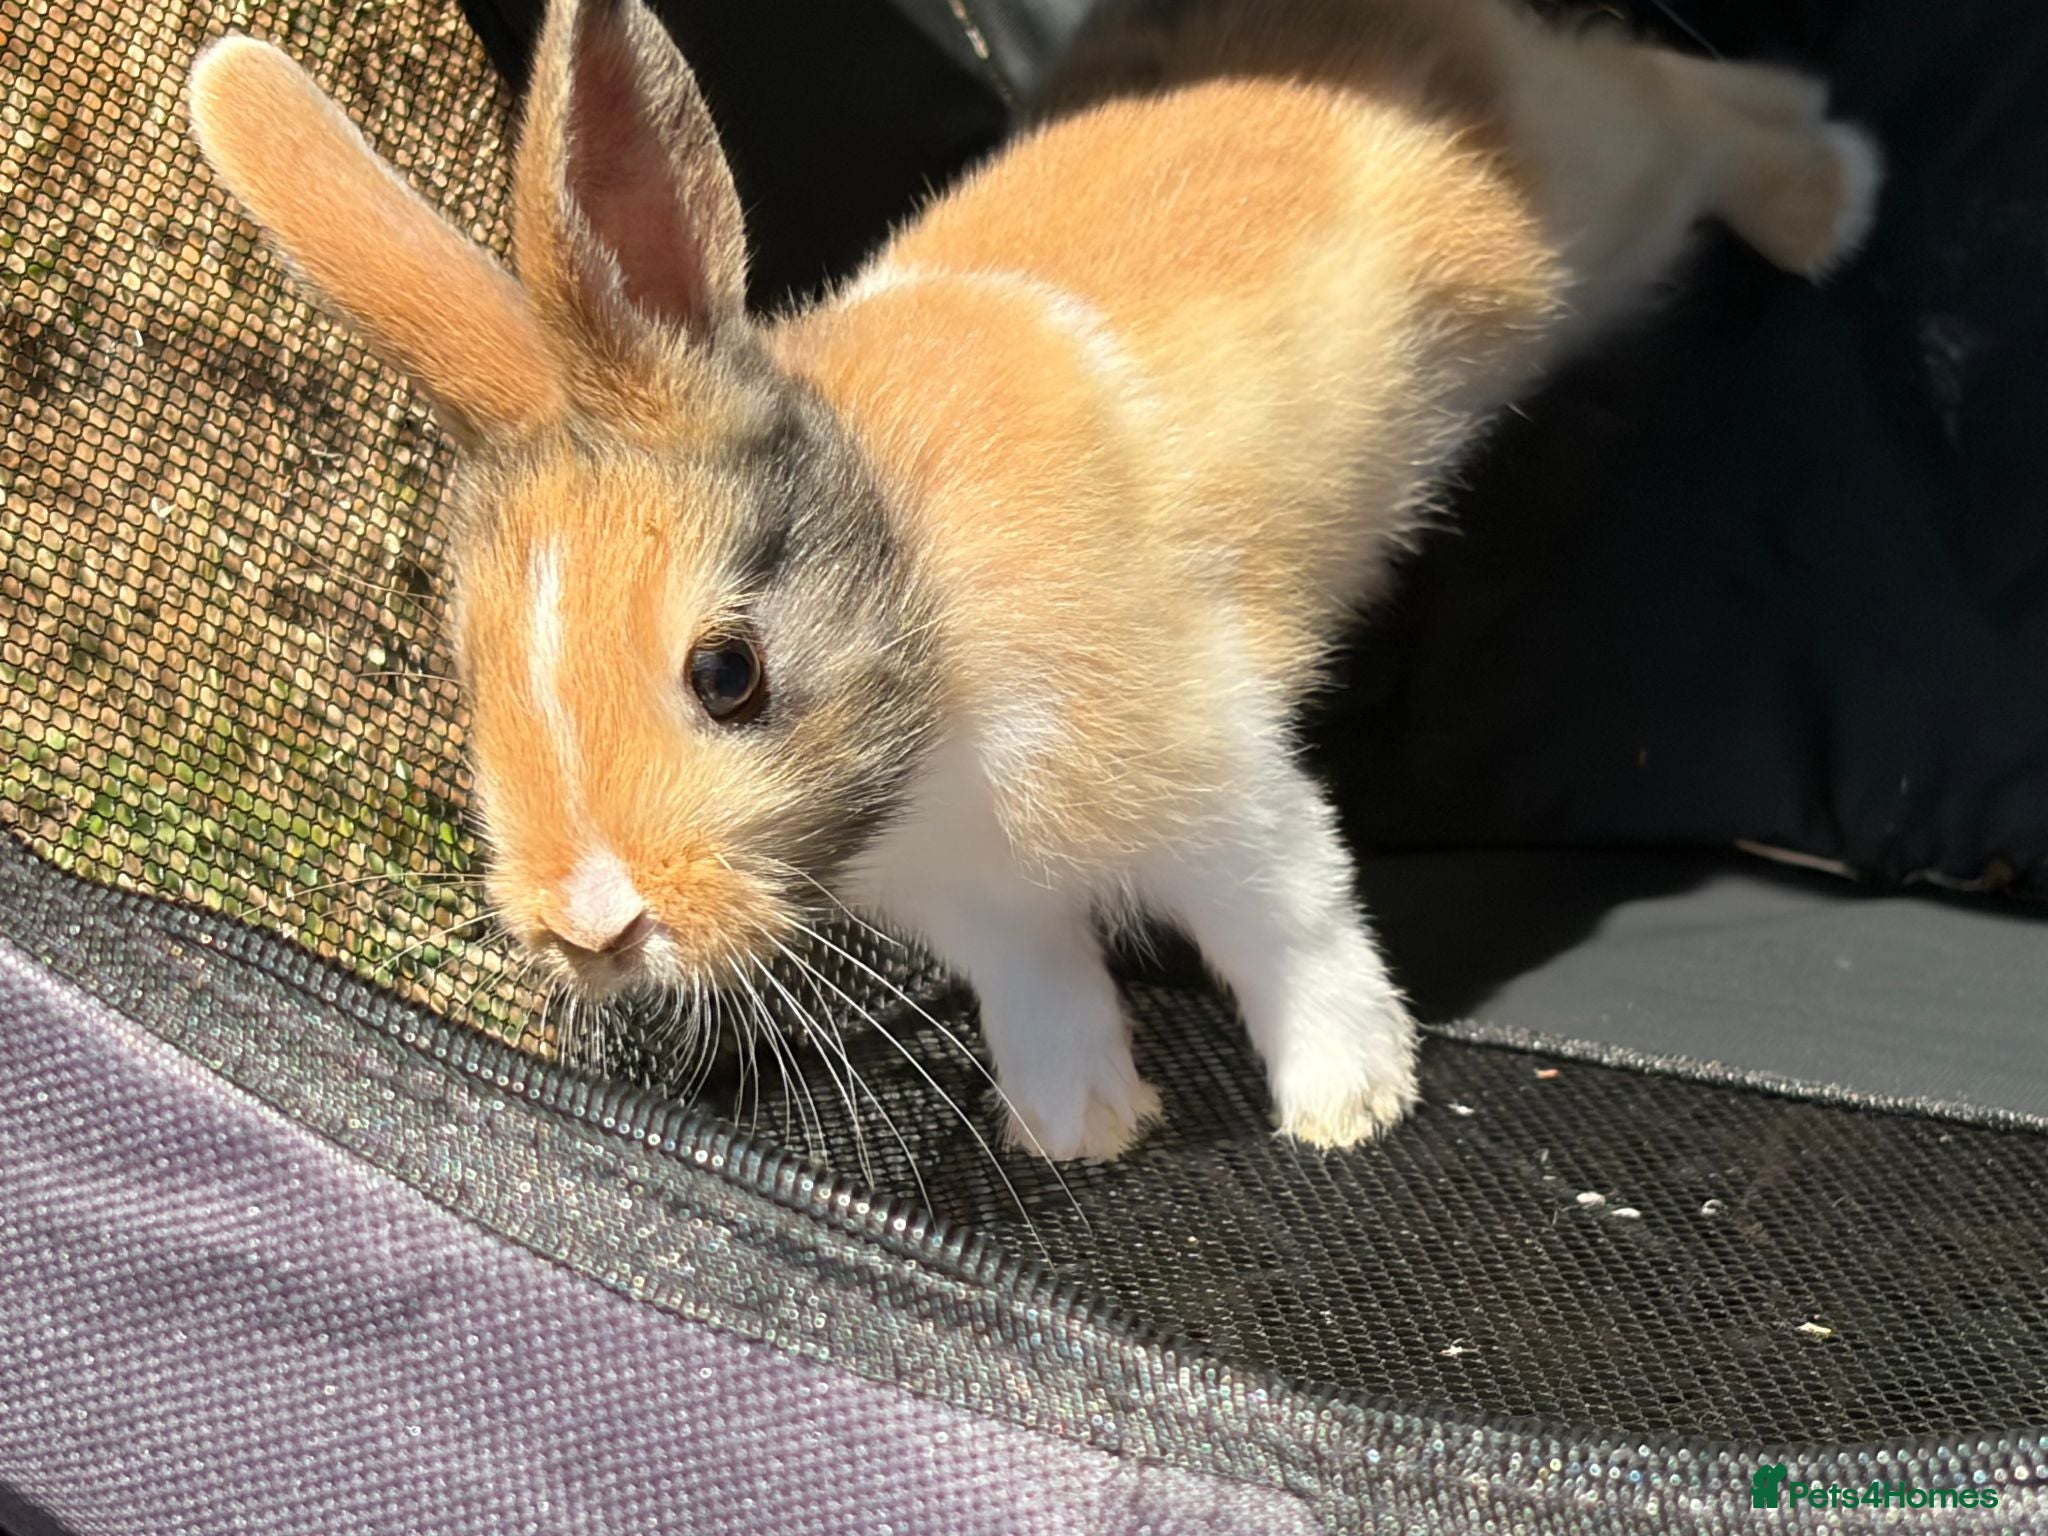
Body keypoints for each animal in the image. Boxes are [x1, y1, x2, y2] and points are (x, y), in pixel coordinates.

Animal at [188, 0, 1881, 1162]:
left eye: (726, 672)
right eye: (465, 668)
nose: (590, 928)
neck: (919, 599)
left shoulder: (1213, 780)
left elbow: (1292, 924)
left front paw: (1348, 1104)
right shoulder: (984, 911)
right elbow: (1045, 981)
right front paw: (1081, 1129)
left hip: (1587, 208)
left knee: (1692, 103)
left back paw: (1836, 201)